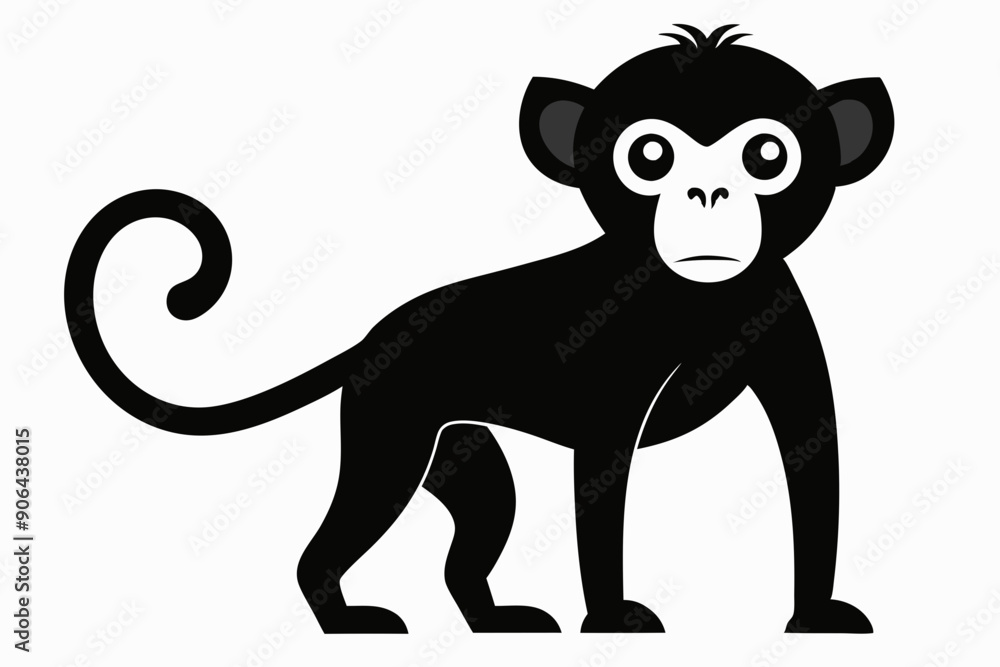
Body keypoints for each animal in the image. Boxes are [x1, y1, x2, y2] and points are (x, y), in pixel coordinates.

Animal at [65, 25, 893, 634]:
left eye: (768, 152)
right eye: (649, 154)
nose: (709, 192)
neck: (707, 299)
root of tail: (371, 340)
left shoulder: (798, 386)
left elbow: (816, 493)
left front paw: (817, 617)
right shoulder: (609, 419)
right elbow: (602, 519)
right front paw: (614, 620)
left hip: (471, 468)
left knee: (458, 565)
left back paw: (502, 621)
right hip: (388, 456)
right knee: (317, 551)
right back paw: (351, 623)